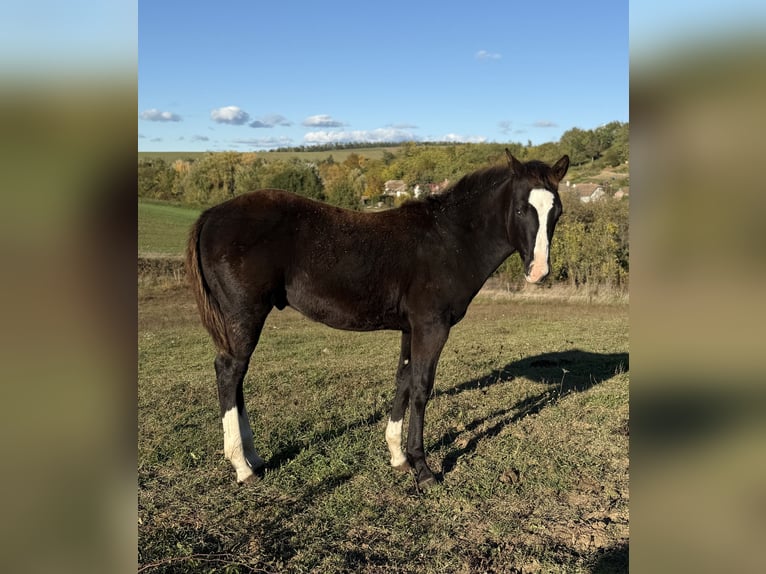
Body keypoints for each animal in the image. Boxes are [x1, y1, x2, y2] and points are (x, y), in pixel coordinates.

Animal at [186, 150, 569, 489]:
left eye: (557, 212)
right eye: (521, 209)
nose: (538, 272)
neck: (450, 240)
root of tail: (211, 215)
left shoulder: (410, 328)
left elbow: (403, 381)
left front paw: (399, 458)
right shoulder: (432, 327)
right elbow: (421, 389)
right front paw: (423, 469)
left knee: (236, 378)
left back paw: (254, 458)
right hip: (244, 316)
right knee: (229, 372)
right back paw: (241, 466)